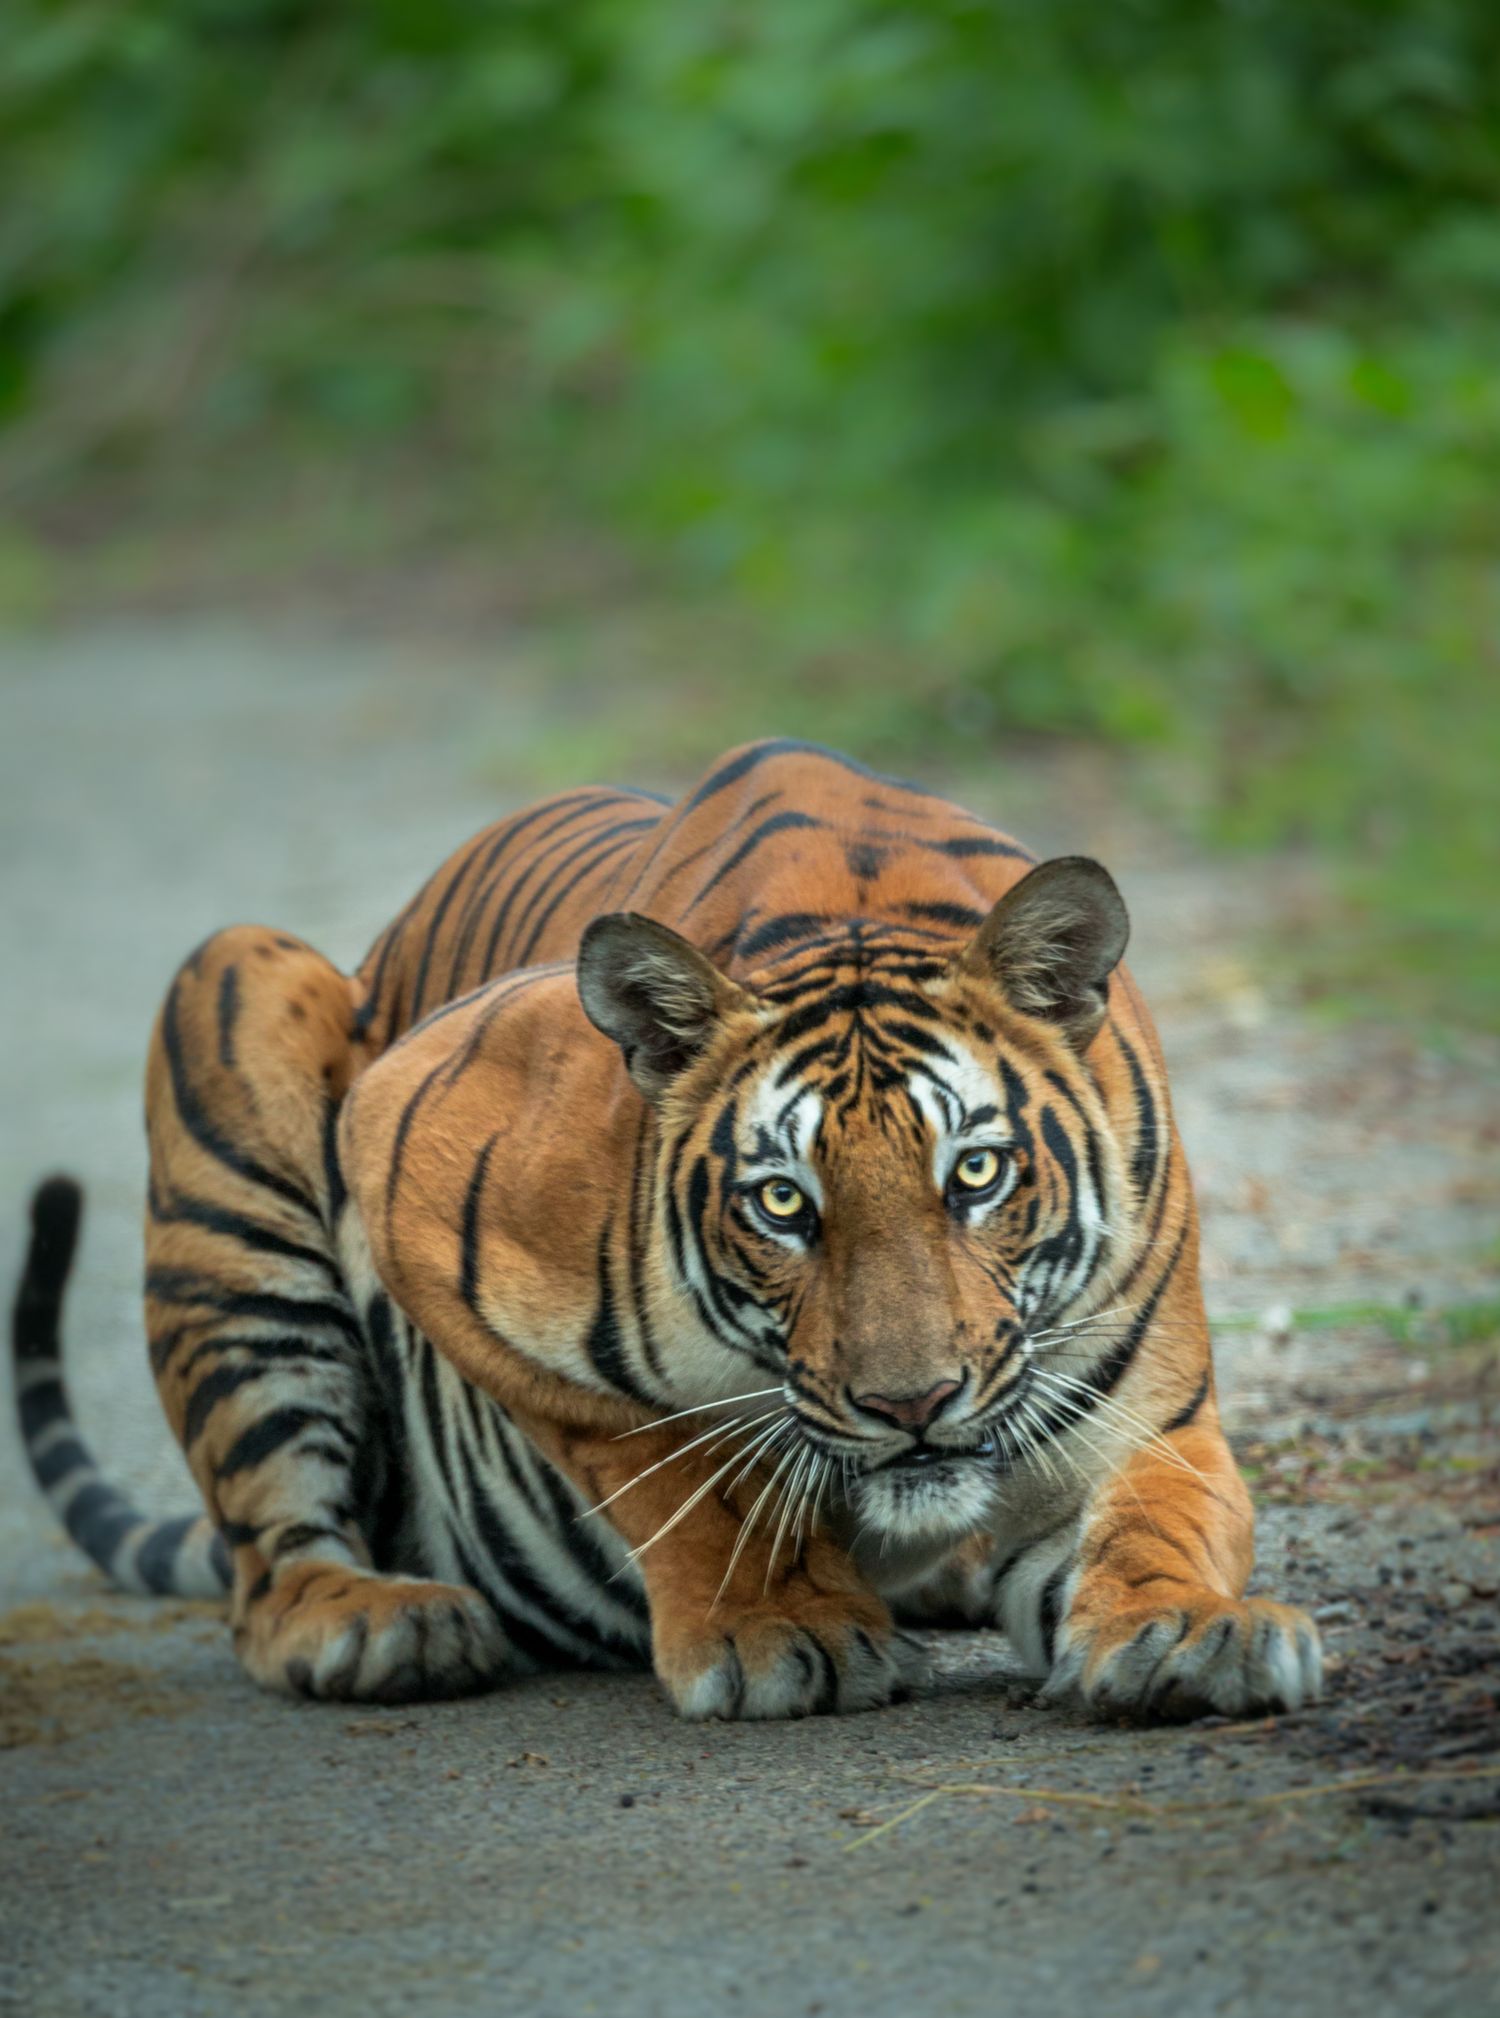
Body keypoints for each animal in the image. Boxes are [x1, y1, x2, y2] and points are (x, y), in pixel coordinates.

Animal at [13, 739, 1321, 1720]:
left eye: (978, 1172)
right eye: (783, 1201)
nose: (911, 1405)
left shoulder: (1143, 1410)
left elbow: (1162, 1514)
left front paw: (1188, 1626)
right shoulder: (407, 1155)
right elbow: (676, 1460)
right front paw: (776, 1625)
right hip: (239, 992)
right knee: (269, 1564)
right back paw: (380, 1622)